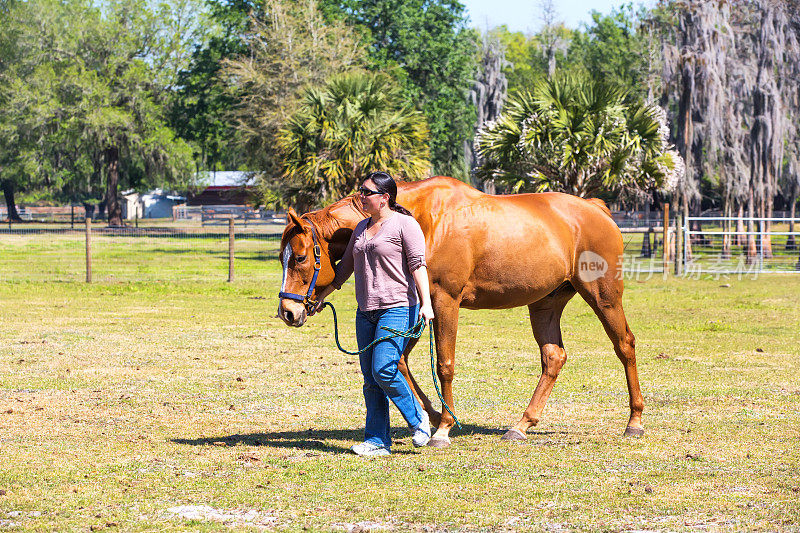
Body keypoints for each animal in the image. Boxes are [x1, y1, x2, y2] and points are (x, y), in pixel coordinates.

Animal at [276, 176, 644, 444]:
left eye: (300, 257)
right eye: (284, 257)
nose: (287, 312)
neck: (423, 219)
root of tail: (597, 210)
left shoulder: (444, 301)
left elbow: (444, 365)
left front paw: (442, 428)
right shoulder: (417, 309)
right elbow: (401, 362)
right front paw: (433, 417)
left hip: (604, 297)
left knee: (624, 346)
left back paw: (635, 422)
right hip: (545, 304)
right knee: (554, 357)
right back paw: (521, 425)